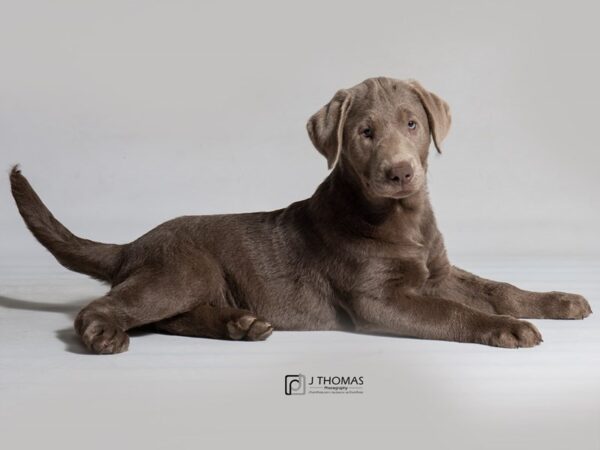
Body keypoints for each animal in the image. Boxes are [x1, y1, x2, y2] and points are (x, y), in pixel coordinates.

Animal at [9, 76, 592, 356]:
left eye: (412, 124)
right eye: (365, 133)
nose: (400, 173)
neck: (401, 218)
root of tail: (131, 244)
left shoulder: (438, 271)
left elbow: (497, 287)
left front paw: (558, 301)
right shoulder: (379, 299)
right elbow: (454, 312)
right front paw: (508, 329)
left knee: (168, 318)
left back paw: (240, 325)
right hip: (182, 269)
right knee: (109, 308)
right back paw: (104, 336)